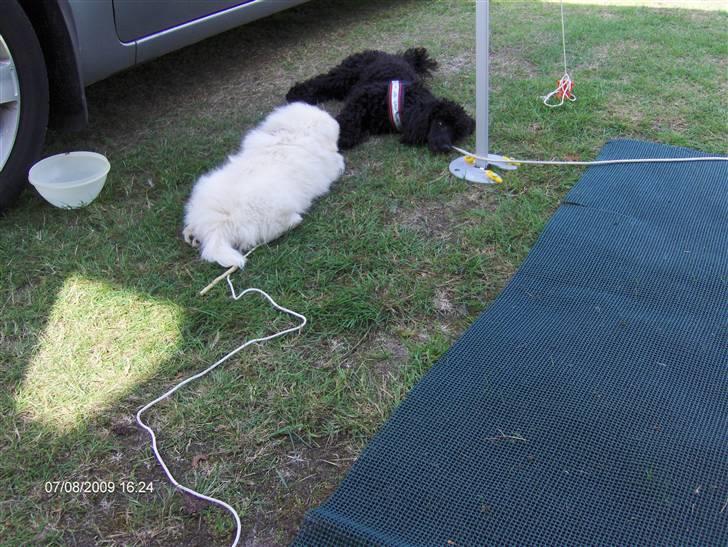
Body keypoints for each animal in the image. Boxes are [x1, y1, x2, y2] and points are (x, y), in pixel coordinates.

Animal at [288, 48, 474, 152]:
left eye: (456, 133)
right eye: (441, 123)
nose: (446, 148)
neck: (406, 101)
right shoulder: (360, 99)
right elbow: (348, 122)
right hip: (345, 75)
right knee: (323, 81)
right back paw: (295, 93)